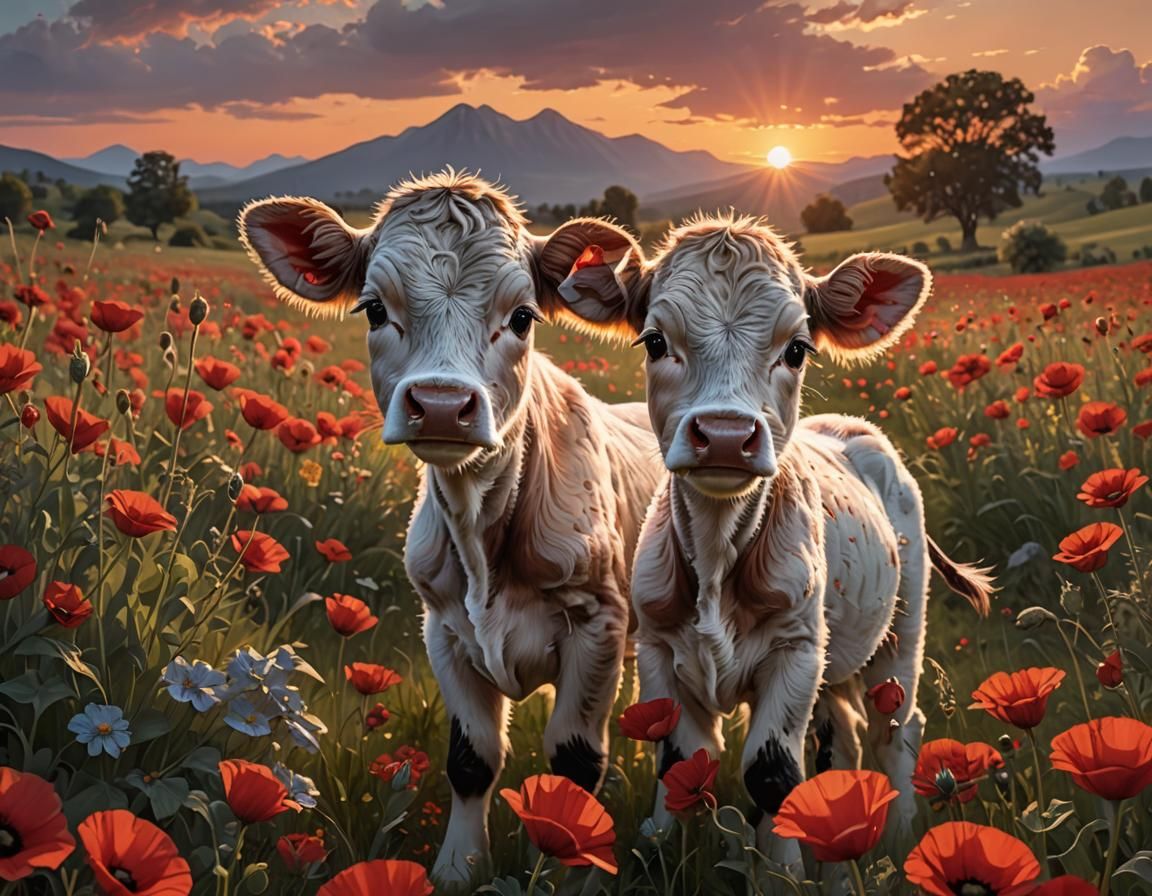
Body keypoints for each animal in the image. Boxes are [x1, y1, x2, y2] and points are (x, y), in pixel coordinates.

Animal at [237, 171, 663, 884]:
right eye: (373, 308)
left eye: (522, 317)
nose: (440, 404)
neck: (480, 530)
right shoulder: (444, 629)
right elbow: (472, 760)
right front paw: (458, 867)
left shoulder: (597, 622)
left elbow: (576, 767)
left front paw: (570, 869)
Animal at [546, 212, 994, 865]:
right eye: (654, 341)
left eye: (797, 349)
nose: (726, 435)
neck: (715, 555)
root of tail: (854, 430)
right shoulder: (659, 654)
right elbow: (680, 765)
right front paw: (665, 850)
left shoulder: (796, 650)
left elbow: (773, 773)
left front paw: (783, 870)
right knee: (844, 733)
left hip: (902, 629)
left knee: (897, 729)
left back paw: (902, 829)